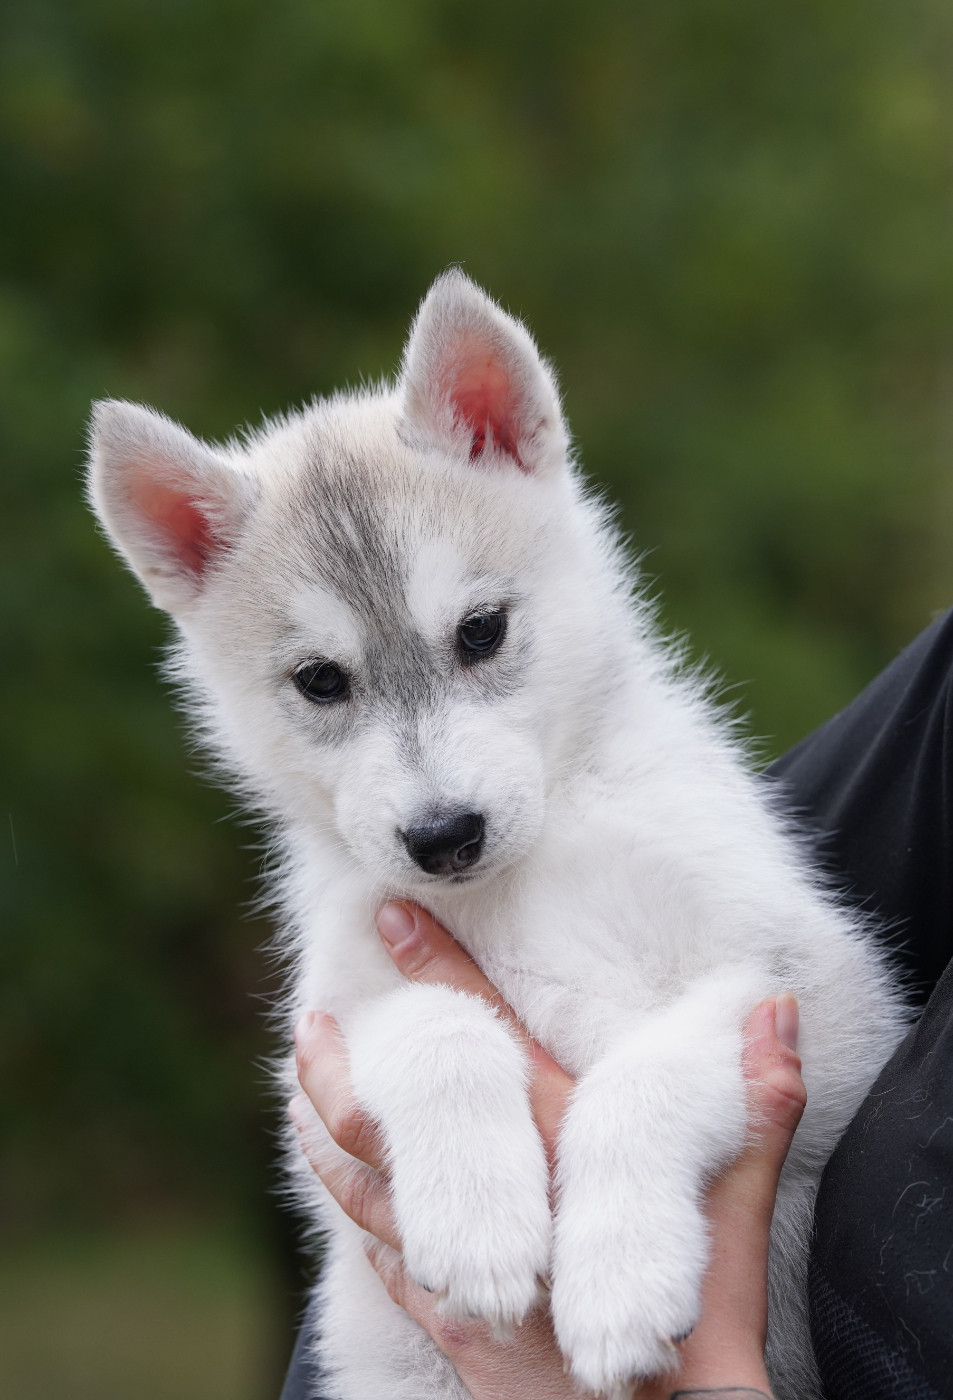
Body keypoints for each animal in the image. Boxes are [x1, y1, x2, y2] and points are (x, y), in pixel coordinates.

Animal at [87, 271, 907, 1400]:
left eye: (480, 631)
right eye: (320, 681)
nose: (443, 835)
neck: (524, 874)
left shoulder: (800, 992)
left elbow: (638, 1078)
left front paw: (617, 1282)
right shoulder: (328, 1042)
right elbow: (439, 1024)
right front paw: (477, 1220)